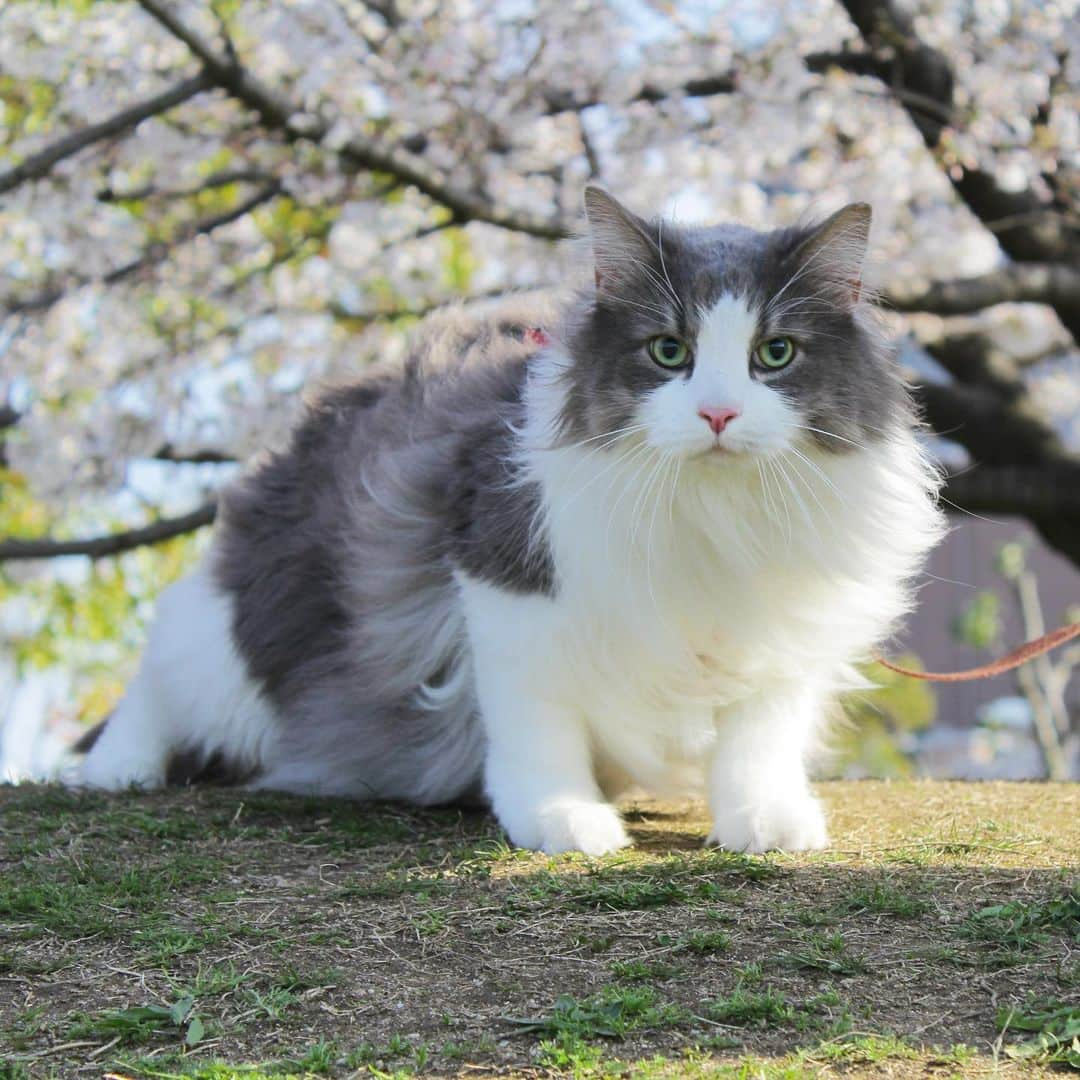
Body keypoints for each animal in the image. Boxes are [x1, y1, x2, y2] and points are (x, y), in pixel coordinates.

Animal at [79, 190, 946, 855]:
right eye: (669, 351)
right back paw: (114, 769)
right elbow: (539, 726)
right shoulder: (504, 580)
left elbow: (757, 742)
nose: (719, 413)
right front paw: (564, 819)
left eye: (776, 354)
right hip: (235, 649)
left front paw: (763, 821)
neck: (712, 514)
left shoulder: (777, 638)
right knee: (159, 674)